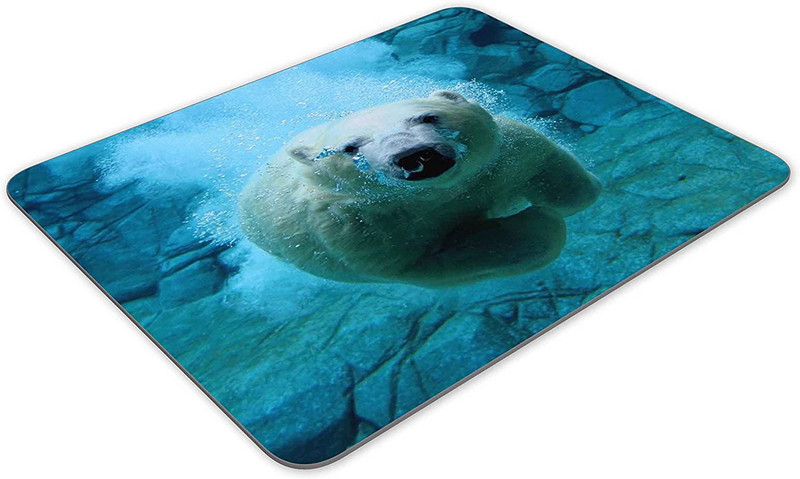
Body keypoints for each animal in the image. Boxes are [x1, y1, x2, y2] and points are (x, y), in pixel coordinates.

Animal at [238, 90, 601, 287]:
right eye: (351, 148)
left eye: (427, 117)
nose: (414, 155)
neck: (436, 194)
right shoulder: (366, 232)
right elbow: (439, 258)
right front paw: (540, 219)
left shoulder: (496, 159)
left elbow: (545, 164)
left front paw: (575, 191)